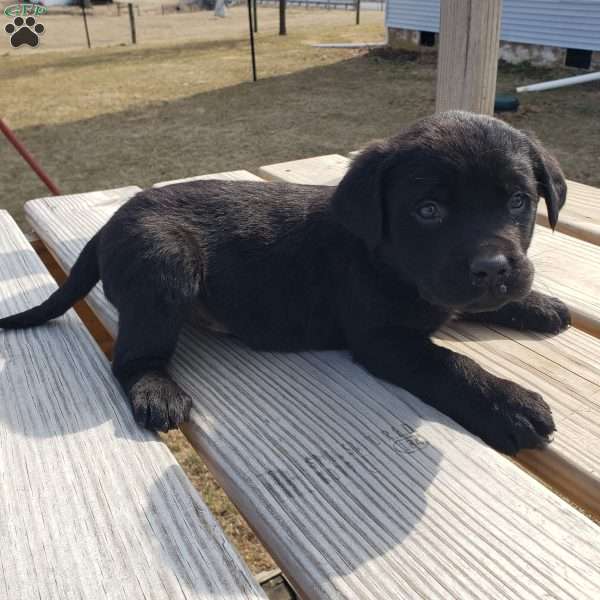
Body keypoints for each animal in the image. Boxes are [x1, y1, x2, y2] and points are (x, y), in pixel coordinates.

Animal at [2, 109, 568, 454]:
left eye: (519, 201)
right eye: (428, 211)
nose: (493, 268)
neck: (385, 257)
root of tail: (107, 226)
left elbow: (473, 304)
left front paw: (536, 304)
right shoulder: (383, 339)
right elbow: (449, 363)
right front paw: (507, 402)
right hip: (165, 262)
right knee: (132, 358)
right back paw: (155, 392)